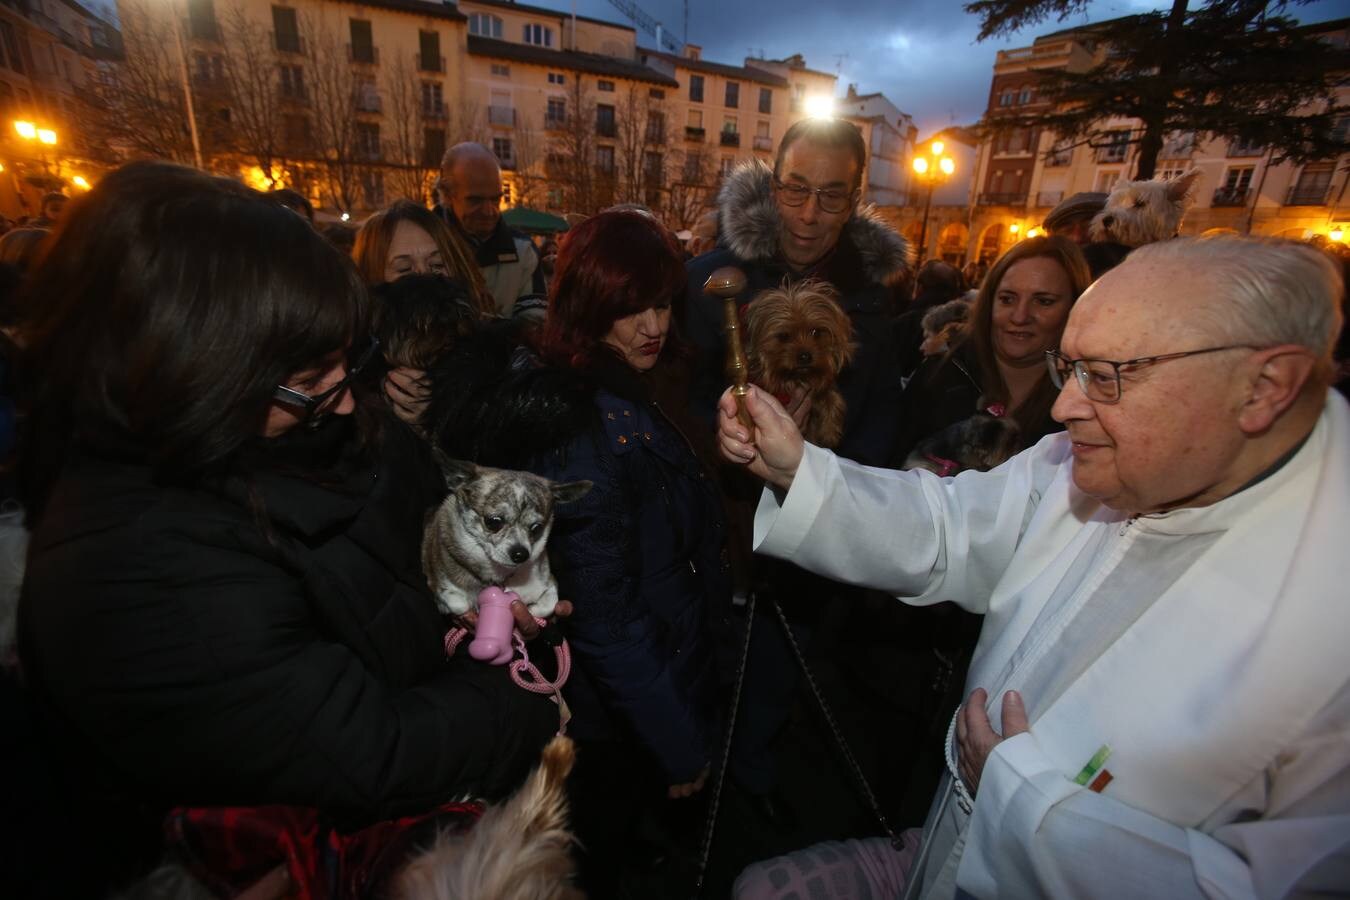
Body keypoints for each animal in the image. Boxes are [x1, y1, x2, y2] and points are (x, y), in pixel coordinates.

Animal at [421, 458, 591, 620]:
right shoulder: (439, 587)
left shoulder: (549, 581)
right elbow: (458, 603)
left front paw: (533, 610)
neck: (500, 574)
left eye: (536, 528)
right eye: (493, 522)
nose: (521, 554)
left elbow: (550, 603)